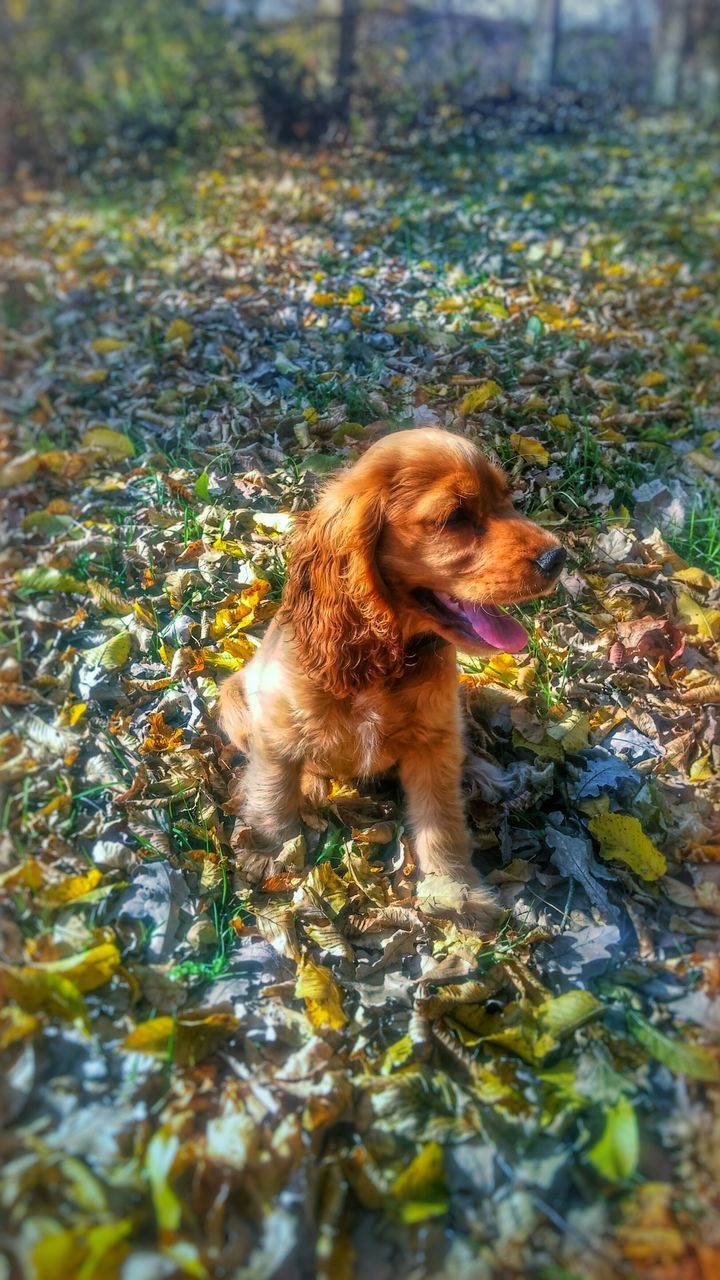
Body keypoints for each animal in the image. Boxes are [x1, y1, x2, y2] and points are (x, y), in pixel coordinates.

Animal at [215, 424, 563, 926]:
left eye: (507, 500)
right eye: (455, 517)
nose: (559, 558)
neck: (384, 661)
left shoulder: (433, 742)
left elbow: (442, 821)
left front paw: (455, 891)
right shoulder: (278, 726)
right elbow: (272, 788)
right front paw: (268, 848)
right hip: (232, 697)